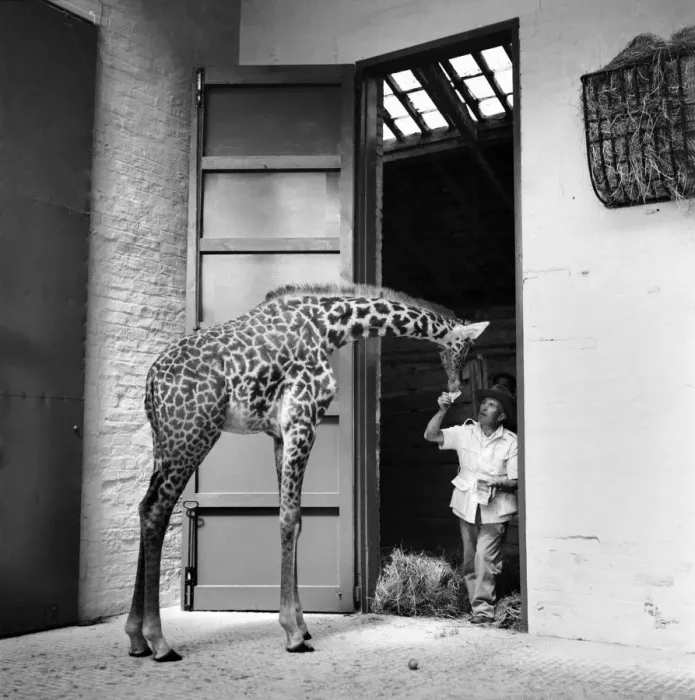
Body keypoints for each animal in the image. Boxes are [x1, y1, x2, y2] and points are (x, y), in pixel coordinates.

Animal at [124, 282, 489, 662]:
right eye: (464, 349)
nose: (455, 387)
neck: (329, 327)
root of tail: (151, 380)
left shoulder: (279, 433)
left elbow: (294, 518)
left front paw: (301, 624)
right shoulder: (303, 419)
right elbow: (290, 519)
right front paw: (294, 634)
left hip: (163, 439)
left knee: (144, 506)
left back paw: (136, 638)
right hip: (193, 432)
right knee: (157, 509)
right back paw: (159, 642)